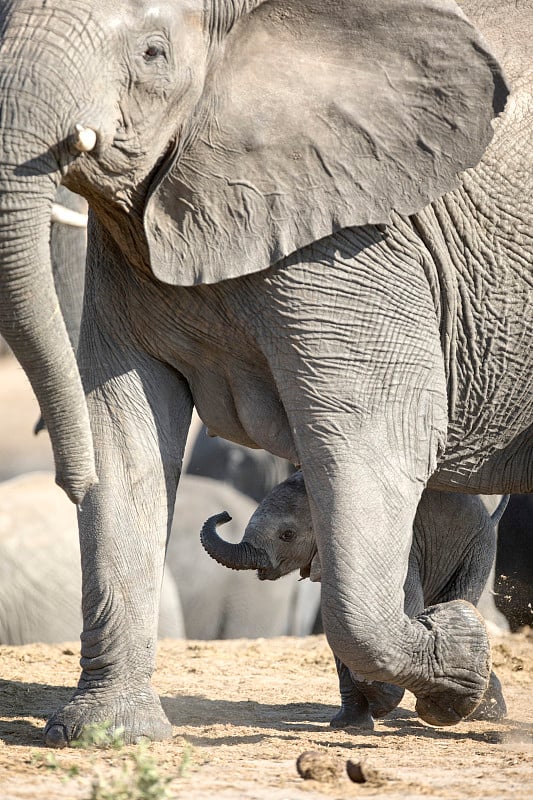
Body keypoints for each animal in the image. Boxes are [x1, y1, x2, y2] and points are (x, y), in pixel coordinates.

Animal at [201, 476, 508, 732]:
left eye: (287, 535)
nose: (225, 515)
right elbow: (342, 628)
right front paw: (348, 724)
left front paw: (383, 704)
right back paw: (487, 709)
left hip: (476, 548)